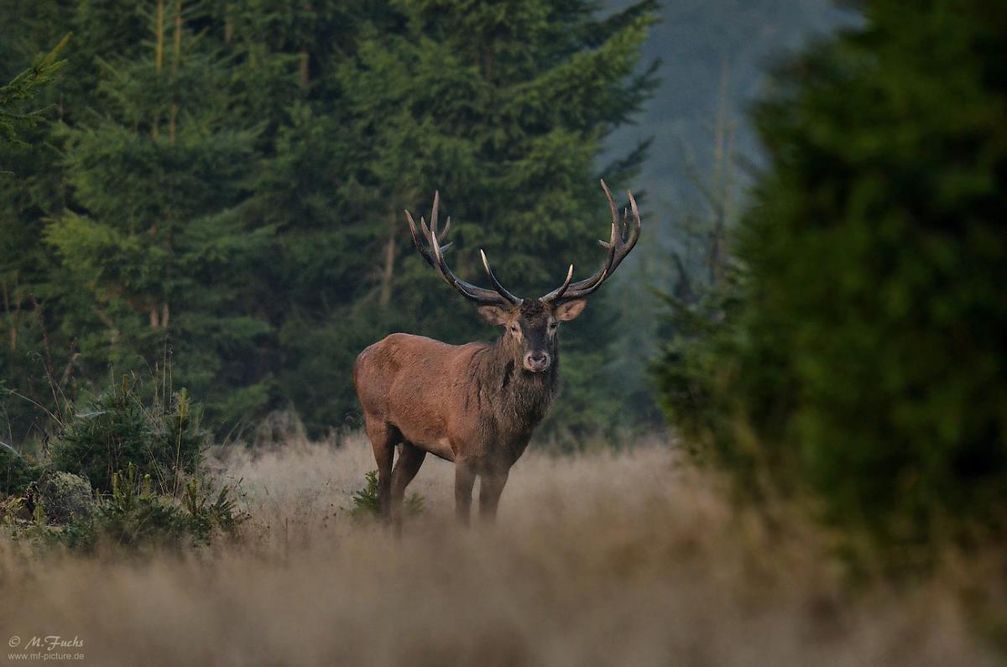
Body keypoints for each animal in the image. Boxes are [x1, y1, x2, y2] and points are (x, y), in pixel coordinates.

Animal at [352, 181, 636, 527]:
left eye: (553, 324)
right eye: (513, 327)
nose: (537, 358)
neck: (504, 424)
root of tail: (363, 354)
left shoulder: (503, 463)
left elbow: (488, 515)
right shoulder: (464, 452)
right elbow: (462, 513)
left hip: (414, 442)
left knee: (396, 488)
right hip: (376, 421)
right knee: (382, 485)